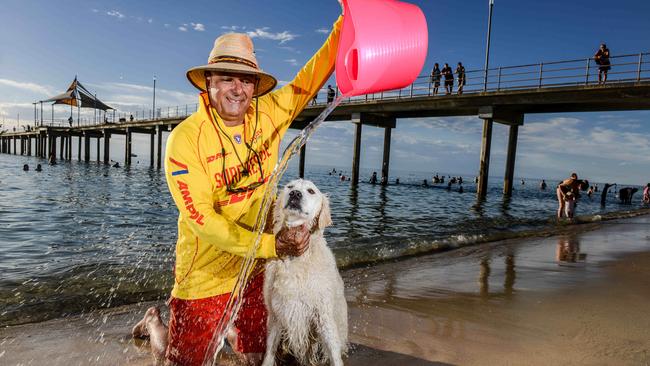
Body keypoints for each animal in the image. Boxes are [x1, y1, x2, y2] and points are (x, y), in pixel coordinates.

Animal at [260, 179, 346, 366]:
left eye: (311, 191)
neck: (296, 259)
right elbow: (270, 350)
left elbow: (334, 354)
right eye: (290, 187)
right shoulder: (275, 313)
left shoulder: (323, 315)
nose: (295, 194)